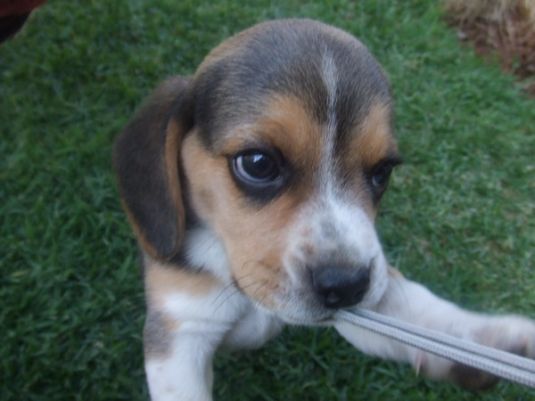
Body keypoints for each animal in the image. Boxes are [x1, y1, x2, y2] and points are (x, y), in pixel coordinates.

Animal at [114, 17, 535, 398]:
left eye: (382, 172)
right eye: (258, 163)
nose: (346, 286)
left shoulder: (370, 300)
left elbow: (419, 309)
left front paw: (490, 341)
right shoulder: (180, 331)